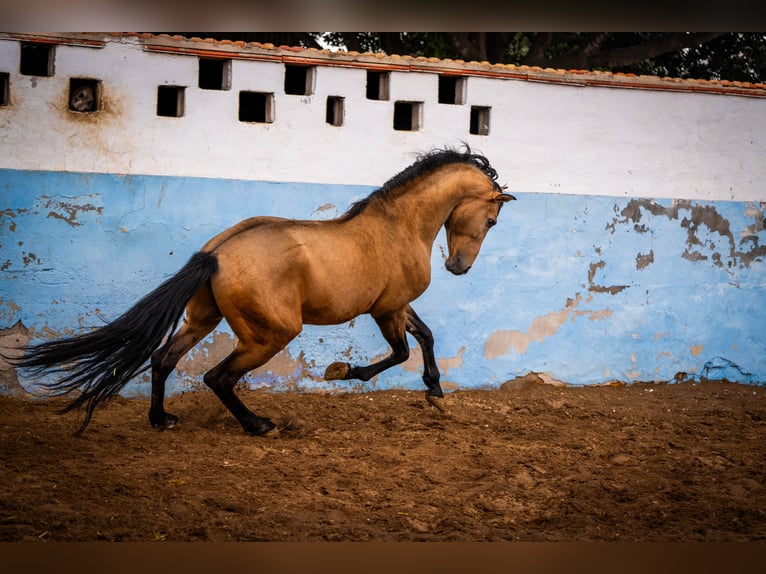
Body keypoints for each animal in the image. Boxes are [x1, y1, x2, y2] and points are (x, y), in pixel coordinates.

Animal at [13, 147, 516, 436]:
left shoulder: (396, 305)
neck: (400, 226)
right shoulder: (387, 309)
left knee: (163, 358)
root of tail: (215, 253)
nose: (458, 267)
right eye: (491, 221)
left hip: (204, 319)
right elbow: (399, 353)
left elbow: (425, 336)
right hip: (270, 334)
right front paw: (341, 372)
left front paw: (435, 390)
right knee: (217, 377)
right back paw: (258, 425)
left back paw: (161, 419)